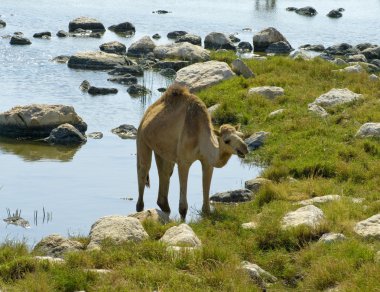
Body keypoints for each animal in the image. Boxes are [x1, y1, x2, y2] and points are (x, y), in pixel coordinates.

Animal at [137, 84, 249, 219]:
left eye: (242, 135)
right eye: (227, 140)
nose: (244, 148)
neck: (200, 135)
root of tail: (148, 112)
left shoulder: (207, 162)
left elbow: (206, 201)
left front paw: (206, 214)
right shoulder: (183, 162)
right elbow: (183, 207)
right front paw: (182, 220)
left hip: (162, 150)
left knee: (165, 172)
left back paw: (164, 208)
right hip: (141, 139)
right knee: (143, 170)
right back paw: (140, 210)